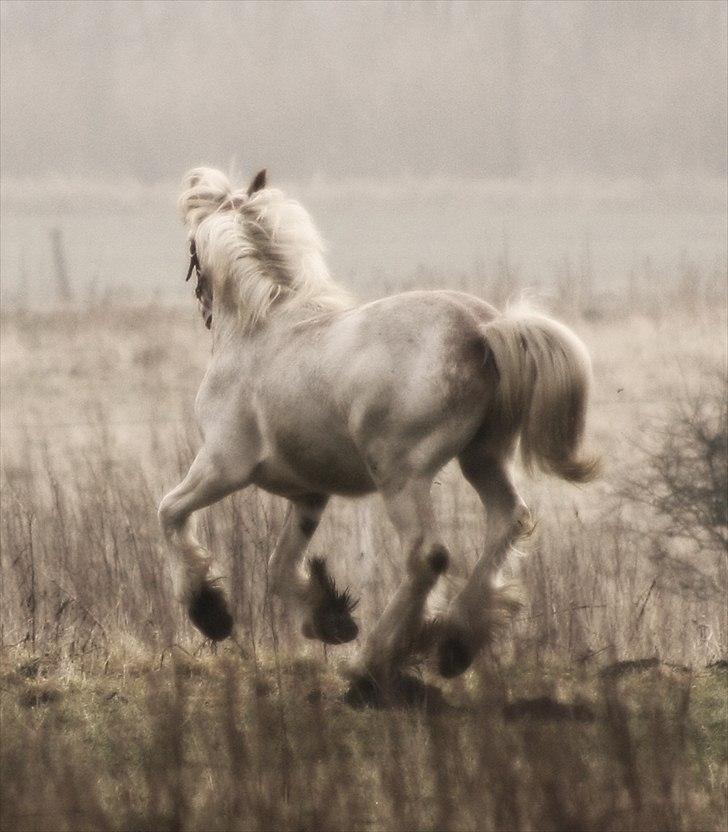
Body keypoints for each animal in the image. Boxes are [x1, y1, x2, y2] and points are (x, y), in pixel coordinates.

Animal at [159, 169, 596, 688]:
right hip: (483, 456)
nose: (205, 309)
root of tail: (484, 330)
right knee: (507, 520)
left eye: (191, 249)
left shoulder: (221, 467)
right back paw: (453, 645)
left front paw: (210, 613)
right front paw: (329, 619)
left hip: (402, 476)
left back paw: (375, 664)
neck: (260, 329)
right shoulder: (309, 495)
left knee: (427, 556)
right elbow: (278, 565)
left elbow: (170, 513)